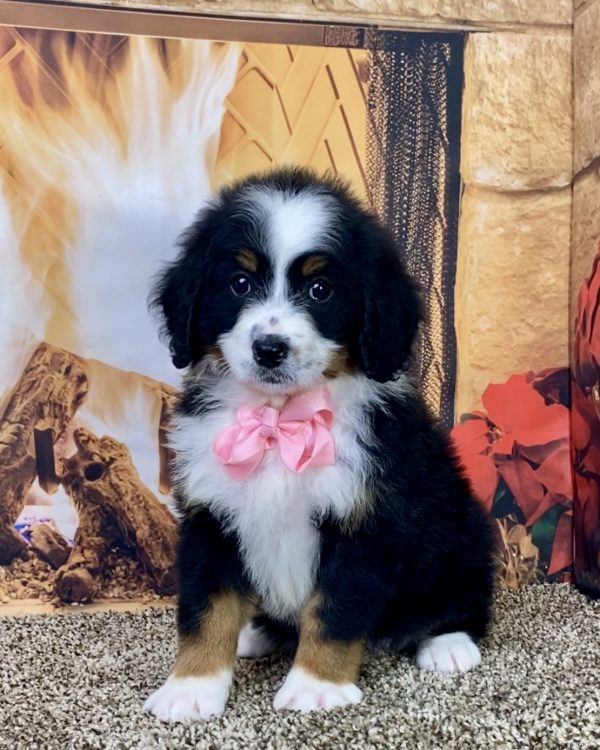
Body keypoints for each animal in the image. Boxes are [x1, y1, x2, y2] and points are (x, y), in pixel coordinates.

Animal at [143, 169, 494, 724]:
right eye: (239, 283)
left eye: (320, 290)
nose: (269, 349)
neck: (281, 420)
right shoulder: (210, 516)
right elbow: (205, 610)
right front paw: (191, 688)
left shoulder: (365, 521)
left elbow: (334, 612)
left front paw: (315, 686)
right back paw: (257, 633)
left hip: (461, 530)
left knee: (463, 598)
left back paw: (448, 643)